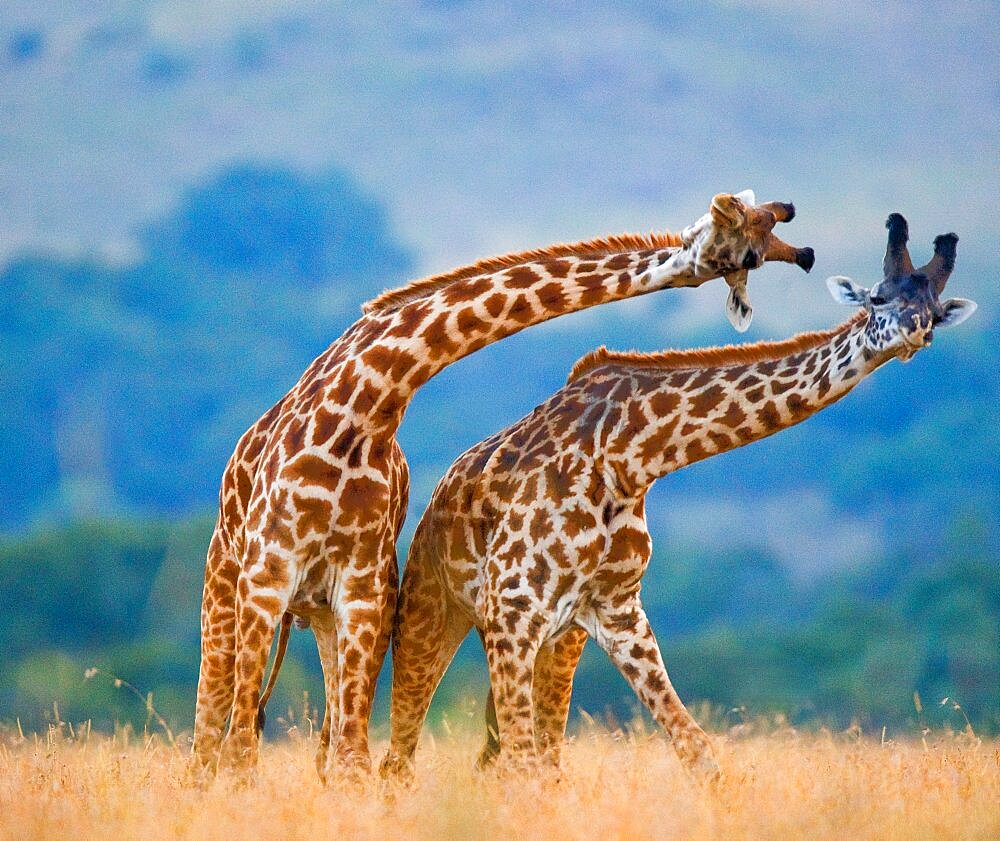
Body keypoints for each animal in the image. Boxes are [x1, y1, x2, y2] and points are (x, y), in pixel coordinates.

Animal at [191, 190, 816, 780]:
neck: (365, 407)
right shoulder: (267, 575)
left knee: (325, 744)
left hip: (323, 612)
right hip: (229, 586)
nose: (806, 255)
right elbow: (241, 750)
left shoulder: (363, 591)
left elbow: (349, 758)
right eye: (751, 246)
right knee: (210, 738)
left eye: (774, 234)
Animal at [382, 215, 976, 780]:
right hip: (432, 612)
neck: (630, 458)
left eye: (934, 312)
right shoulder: (511, 609)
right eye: (877, 298)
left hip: (558, 639)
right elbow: (525, 766)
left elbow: (698, 752)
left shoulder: (617, 612)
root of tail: (436, 500)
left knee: (511, 756)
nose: (913, 334)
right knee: (404, 755)